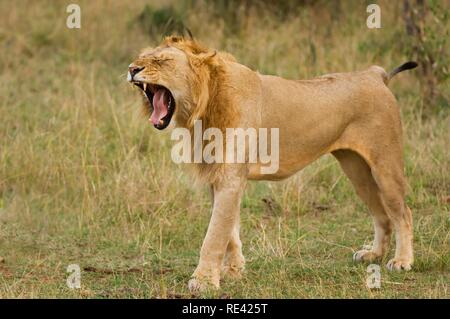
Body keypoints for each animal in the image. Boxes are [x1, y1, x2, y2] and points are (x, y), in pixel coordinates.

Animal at [126, 36, 418, 294]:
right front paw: (233, 271)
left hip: (385, 164)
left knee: (402, 212)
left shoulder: (230, 178)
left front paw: (204, 282)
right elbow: (230, 231)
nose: (131, 69)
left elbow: (214, 235)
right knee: (381, 214)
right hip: (356, 170)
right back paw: (373, 255)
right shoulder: (219, 177)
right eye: (141, 57)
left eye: (162, 61)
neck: (204, 106)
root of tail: (375, 74)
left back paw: (402, 261)